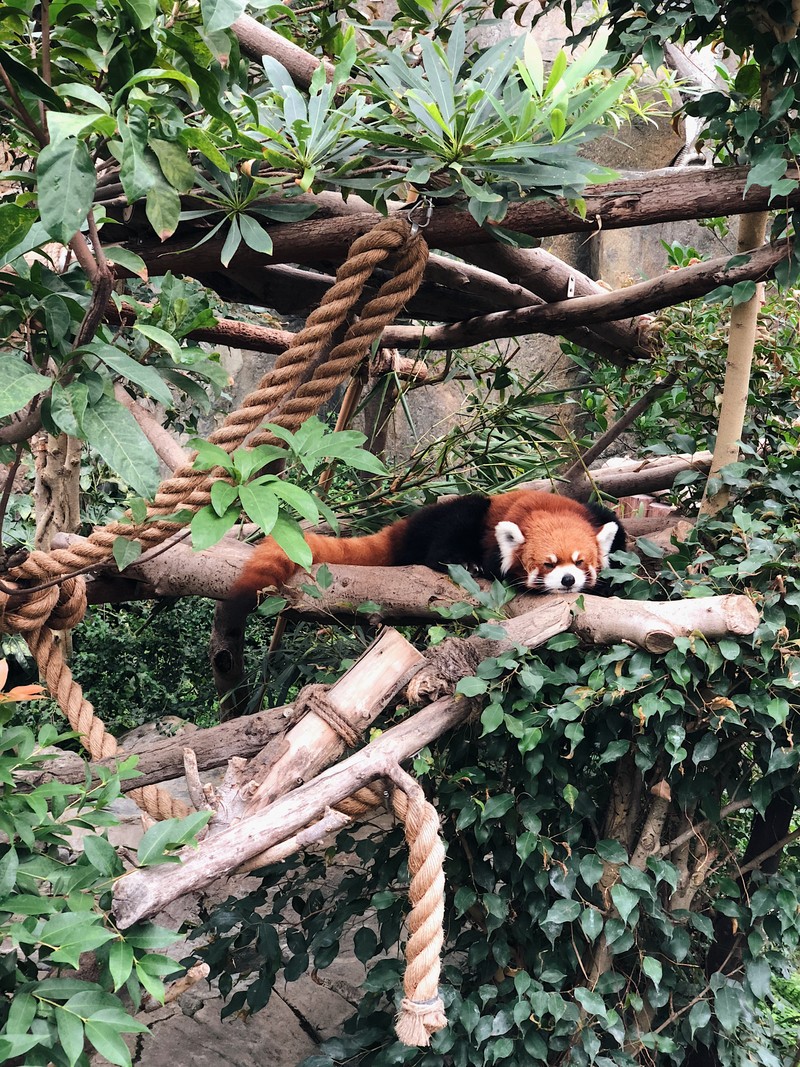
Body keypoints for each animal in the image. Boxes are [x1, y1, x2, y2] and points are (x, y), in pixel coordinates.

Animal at [231, 488, 627, 606]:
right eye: (548, 564)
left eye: (580, 563)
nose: (568, 581)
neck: (548, 508)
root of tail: (408, 526)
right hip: (464, 512)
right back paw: (462, 562)